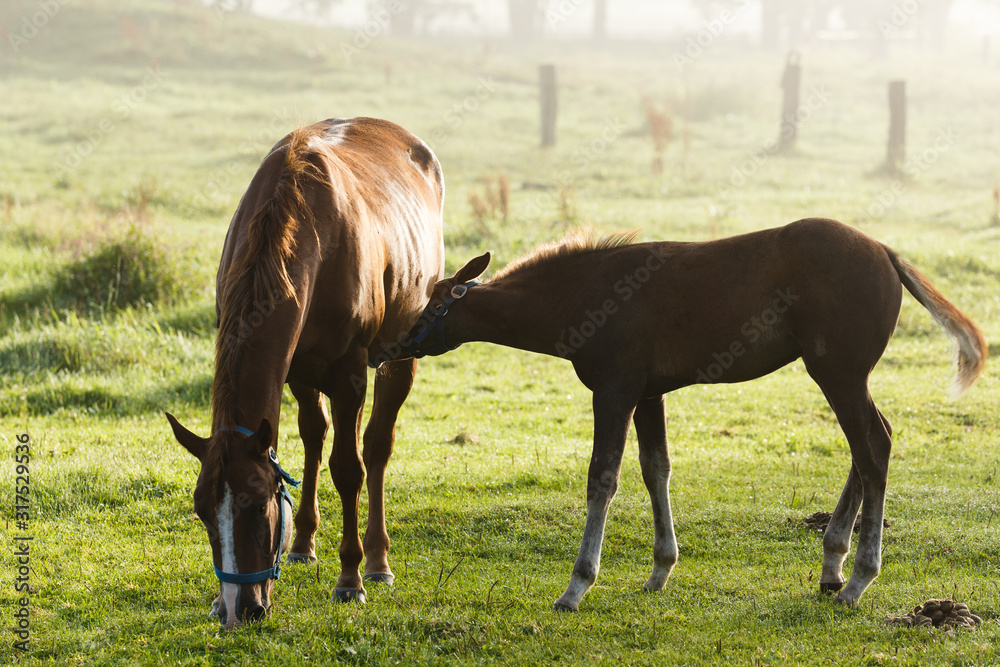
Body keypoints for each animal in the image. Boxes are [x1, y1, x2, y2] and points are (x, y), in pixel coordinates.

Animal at [165, 117, 445, 629]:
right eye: (202, 512)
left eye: (259, 505)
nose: (239, 609)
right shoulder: (294, 368)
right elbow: (311, 442)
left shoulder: (350, 373)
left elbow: (349, 469)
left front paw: (350, 578)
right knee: (316, 434)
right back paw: (302, 544)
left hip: (399, 355)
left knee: (376, 448)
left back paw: (377, 562)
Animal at [391, 217, 987, 611]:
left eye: (431, 305)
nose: (392, 344)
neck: (585, 293)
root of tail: (885, 251)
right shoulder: (648, 394)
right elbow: (656, 469)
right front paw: (660, 569)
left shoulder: (614, 390)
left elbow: (602, 479)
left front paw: (577, 585)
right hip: (844, 375)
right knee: (871, 444)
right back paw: (833, 566)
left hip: (836, 372)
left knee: (872, 448)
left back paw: (859, 576)